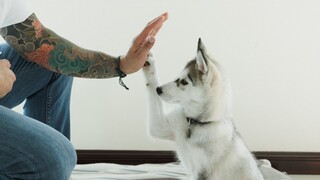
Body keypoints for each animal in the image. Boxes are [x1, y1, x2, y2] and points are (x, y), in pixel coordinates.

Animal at [143, 38, 264, 179]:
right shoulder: (160, 126)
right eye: (178, 77)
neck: (197, 123)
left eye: (184, 82)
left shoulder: (202, 173)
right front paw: (149, 63)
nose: (159, 90)